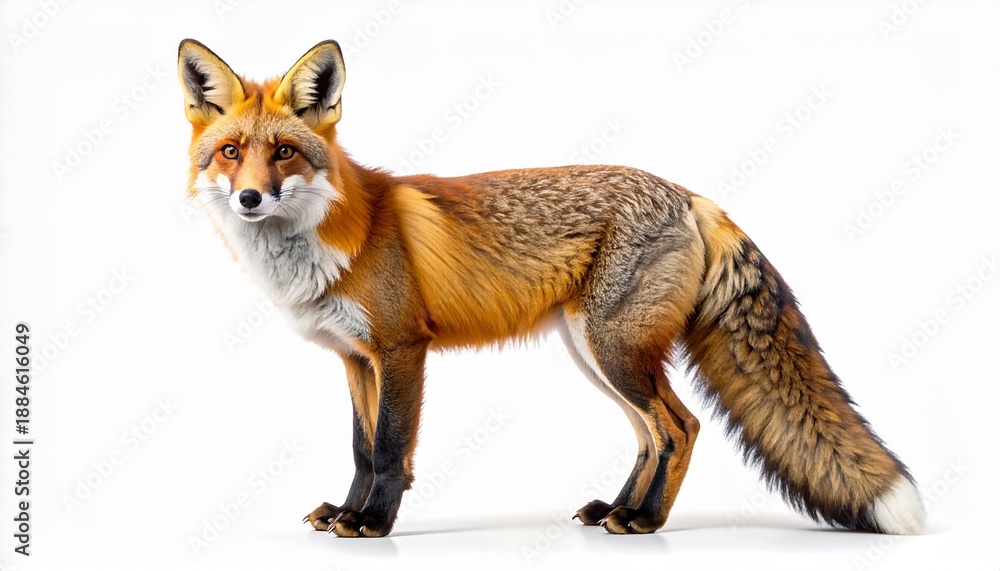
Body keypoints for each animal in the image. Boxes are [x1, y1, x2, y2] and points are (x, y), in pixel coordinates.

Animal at [177, 38, 925, 538]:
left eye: (283, 152)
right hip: (594, 353)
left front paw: (375, 523)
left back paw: (646, 520)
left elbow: (390, 449)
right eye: (230, 152)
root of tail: (688, 194)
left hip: (614, 349)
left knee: (680, 426)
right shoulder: (356, 359)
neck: (331, 240)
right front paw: (349, 511)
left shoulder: (401, 349)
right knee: (652, 434)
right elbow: (362, 449)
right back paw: (619, 508)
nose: (248, 198)